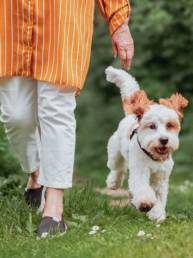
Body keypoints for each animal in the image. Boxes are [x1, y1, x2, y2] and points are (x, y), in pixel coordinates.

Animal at [105, 66, 188, 222]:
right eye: (152, 126)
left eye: (170, 125)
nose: (164, 140)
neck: (154, 157)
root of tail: (131, 116)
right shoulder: (140, 170)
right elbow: (142, 188)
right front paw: (145, 203)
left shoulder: (161, 178)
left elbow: (159, 196)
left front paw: (157, 213)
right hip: (114, 152)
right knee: (117, 167)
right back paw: (114, 182)